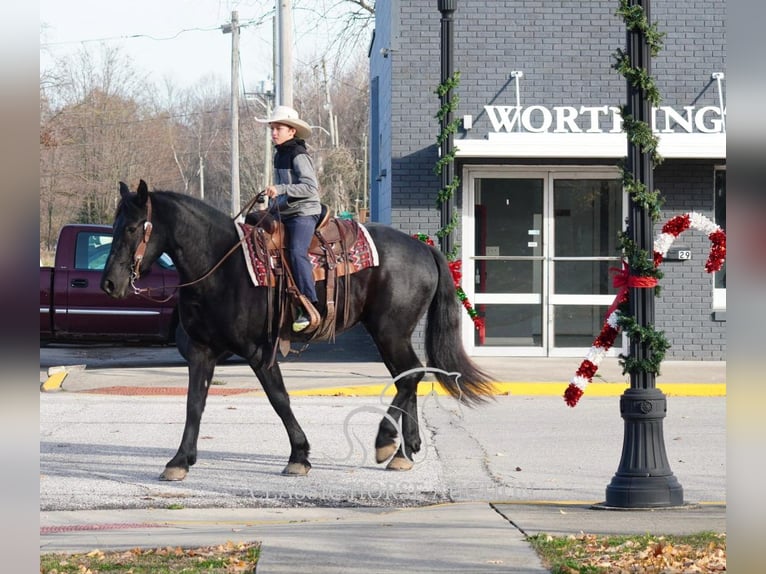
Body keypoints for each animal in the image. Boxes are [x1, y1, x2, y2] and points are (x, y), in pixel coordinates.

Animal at [102, 180, 496, 482]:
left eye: (133, 227)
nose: (109, 284)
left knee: (409, 376)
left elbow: (279, 399)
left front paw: (299, 455)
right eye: (115, 226)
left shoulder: (259, 351)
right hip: (389, 333)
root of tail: (423, 247)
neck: (221, 266)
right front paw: (179, 460)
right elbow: (194, 404)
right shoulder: (201, 351)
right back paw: (404, 450)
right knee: (408, 376)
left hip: (390, 331)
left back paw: (386, 442)